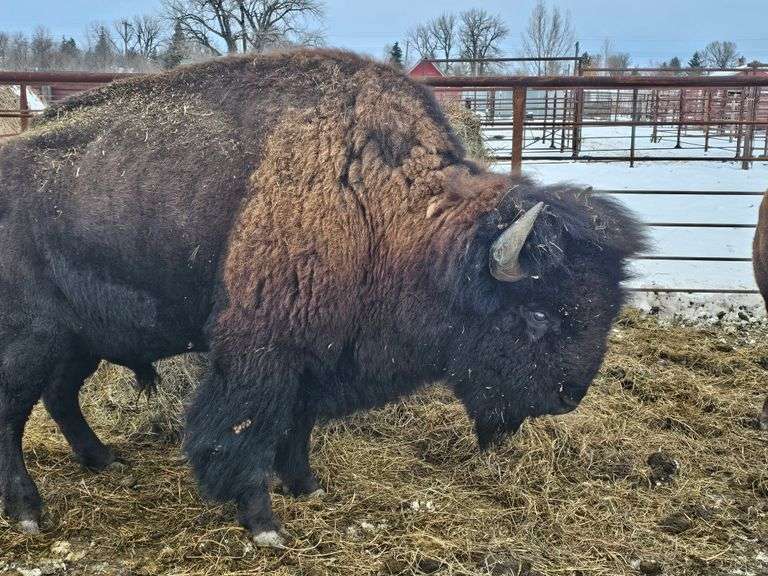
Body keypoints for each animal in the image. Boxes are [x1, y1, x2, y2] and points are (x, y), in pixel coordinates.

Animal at [0, 49, 646, 546]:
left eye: (604, 310)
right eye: (537, 314)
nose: (567, 397)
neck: (388, 210)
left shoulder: (319, 349)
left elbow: (298, 423)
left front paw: (307, 485)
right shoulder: (263, 353)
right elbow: (246, 428)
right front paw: (264, 524)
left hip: (79, 339)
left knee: (60, 396)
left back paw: (103, 459)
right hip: (32, 342)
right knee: (12, 413)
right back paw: (30, 512)